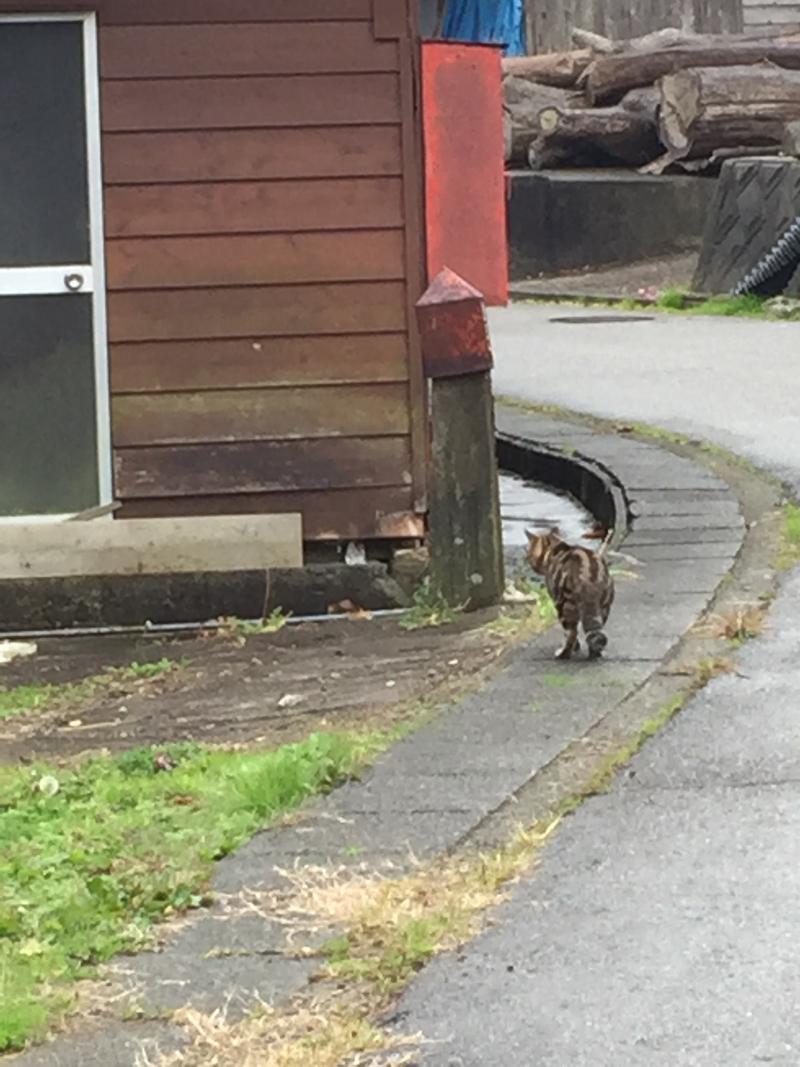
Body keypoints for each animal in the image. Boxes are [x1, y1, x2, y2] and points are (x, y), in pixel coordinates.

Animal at [529, 524, 618, 657]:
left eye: (529, 555)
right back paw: (594, 653)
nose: (531, 564)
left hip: (564, 606)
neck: (555, 550)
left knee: (571, 632)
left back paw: (563, 653)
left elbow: (572, 634)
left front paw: (574, 647)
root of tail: (588, 581)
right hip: (604, 607)